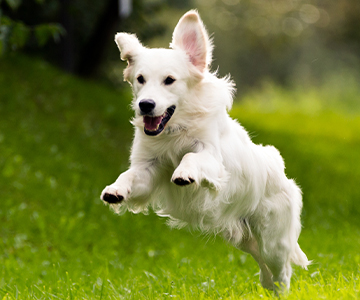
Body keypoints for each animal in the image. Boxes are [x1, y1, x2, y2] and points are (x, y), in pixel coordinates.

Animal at [101, 9, 310, 292]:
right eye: (140, 79)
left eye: (169, 80)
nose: (145, 105)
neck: (176, 131)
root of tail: (283, 175)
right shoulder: (148, 169)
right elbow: (130, 175)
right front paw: (115, 190)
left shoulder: (213, 159)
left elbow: (192, 156)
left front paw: (184, 173)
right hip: (243, 239)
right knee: (264, 268)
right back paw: (265, 283)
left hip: (273, 243)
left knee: (283, 273)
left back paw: (279, 287)